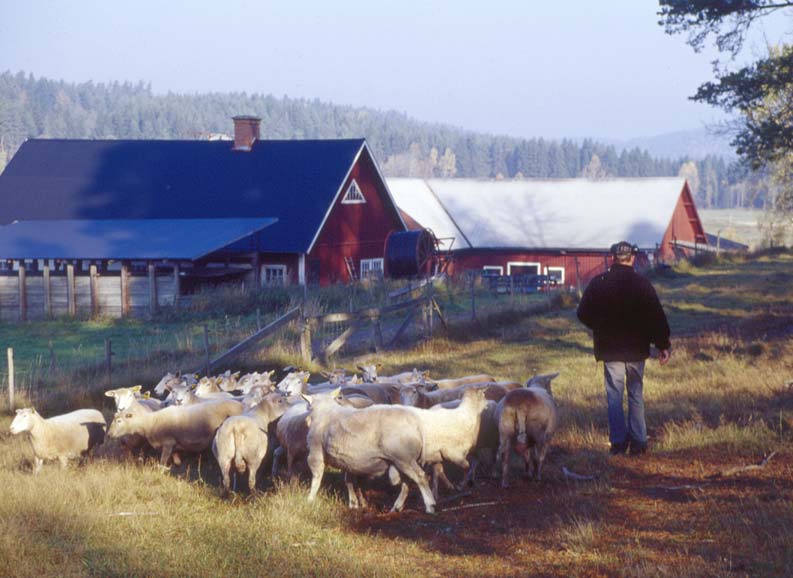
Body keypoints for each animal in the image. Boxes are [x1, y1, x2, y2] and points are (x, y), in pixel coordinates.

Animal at [106, 396, 241, 464]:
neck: (151, 422)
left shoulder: (168, 442)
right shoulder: (174, 445)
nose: (108, 435)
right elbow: (176, 461)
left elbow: (162, 462)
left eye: (119, 421)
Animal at [304, 390, 440, 510]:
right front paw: (354, 504)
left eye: (308, 407)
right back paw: (397, 507)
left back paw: (430, 505)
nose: (306, 420)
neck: (325, 410)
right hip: (401, 461)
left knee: (421, 477)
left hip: (404, 458)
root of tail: (416, 422)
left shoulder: (315, 453)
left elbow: (316, 478)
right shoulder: (348, 461)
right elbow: (349, 481)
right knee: (407, 482)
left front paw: (310, 500)